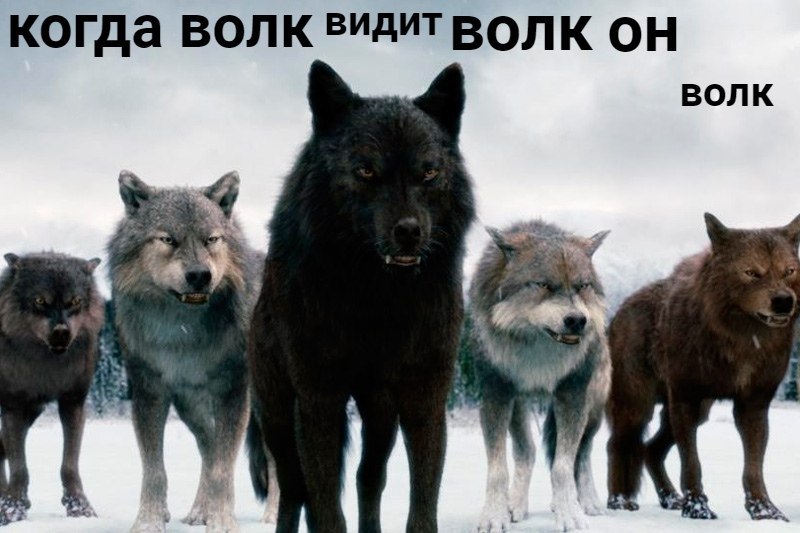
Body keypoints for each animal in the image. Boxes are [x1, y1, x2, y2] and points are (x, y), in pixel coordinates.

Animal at [0, 252, 104, 525]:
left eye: (75, 301)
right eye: (39, 300)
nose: (61, 332)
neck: (46, 365)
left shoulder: (72, 403)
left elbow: (69, 465)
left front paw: (79, 507)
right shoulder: (14, 407)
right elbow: (19, 466)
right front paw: (13, 508)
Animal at [108, 171, 262, 533]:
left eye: (211, 240)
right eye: (168, 239)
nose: (200, 276)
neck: (182, 334)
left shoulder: (234, 393)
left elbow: (222, 470)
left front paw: (222, 523)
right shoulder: (149, 392)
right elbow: (155, 471)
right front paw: (149, 522)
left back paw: (272, 516)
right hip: (192, 410)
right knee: (209, 450)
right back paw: (197, 513)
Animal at [246, 60, 475, 533]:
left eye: (429, 172)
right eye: (367, 170)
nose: (409, 232)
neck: (377, 298)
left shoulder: (424, 396)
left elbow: (422, 503)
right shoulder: (318, 400)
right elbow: (325, 507)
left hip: (380, 414)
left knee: (368, 478)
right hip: (277, 417)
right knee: (295, 490)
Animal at [470, 221, 610, 532]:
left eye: (582, 286)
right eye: (544, 285)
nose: (577, 321)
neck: (538, 351)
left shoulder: (571, 394)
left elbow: (562, 467)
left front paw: (570, 516)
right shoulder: (496, 393)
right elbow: (498, 470)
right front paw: (494, 516)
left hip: (593, 410)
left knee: (581, 455)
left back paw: (586, 503)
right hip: (519, 405)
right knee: (527, 451)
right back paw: (516, 505)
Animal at [606, 213, 800, 521]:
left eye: (789, 271)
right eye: (752, 272)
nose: (783, 301)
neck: (740, 339)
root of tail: (620, 309)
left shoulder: (753, 404)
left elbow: (753, 467)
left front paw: (764, 510)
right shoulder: (687, 398)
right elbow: (692, 463)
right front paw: (697, 508)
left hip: (693, 412)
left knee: (650, 450)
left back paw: (671, 498)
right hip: (638, 407)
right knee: (617, 445)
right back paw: (620, 502)